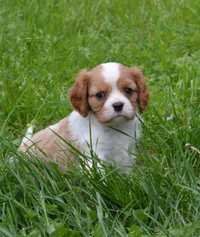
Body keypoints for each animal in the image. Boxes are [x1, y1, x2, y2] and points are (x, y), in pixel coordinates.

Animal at [19, 62, 149, 172]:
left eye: (128, 90)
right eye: (99, 95)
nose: (118, 105)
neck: (115, 127)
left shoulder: (127, 153)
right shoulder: (94, 154)